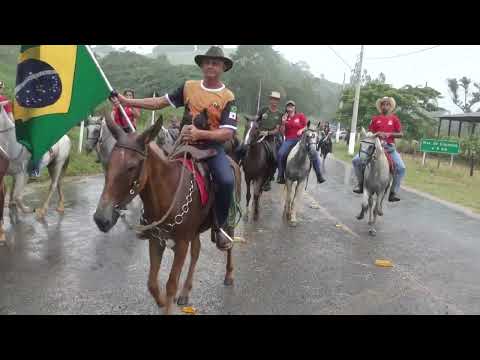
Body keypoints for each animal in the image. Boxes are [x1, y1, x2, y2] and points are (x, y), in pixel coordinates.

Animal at [94, 116, 242, 316]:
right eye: (108, 163)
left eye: (131, 167)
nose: (101, 218)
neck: (169, 194)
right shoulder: (156, 241)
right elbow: (152, 283)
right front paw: (163, 302)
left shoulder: (181, 244)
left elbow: (171, 283)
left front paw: (167, 302)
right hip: (195, 231)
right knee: (196, 251)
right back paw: (186, 292)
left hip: (228, 221)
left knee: (229, 244)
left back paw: (229, 274)